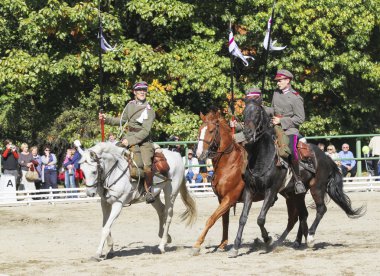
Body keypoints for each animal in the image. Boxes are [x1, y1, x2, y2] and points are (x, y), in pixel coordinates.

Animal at [191, 109, 254, 254]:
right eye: (200, 130)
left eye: (211, 131)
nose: (200, 153)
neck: (229, 163)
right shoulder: (222, 199)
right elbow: (224, 221)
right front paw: (222, 244)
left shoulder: (229, 199)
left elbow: (211, 219)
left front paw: (197, 244)